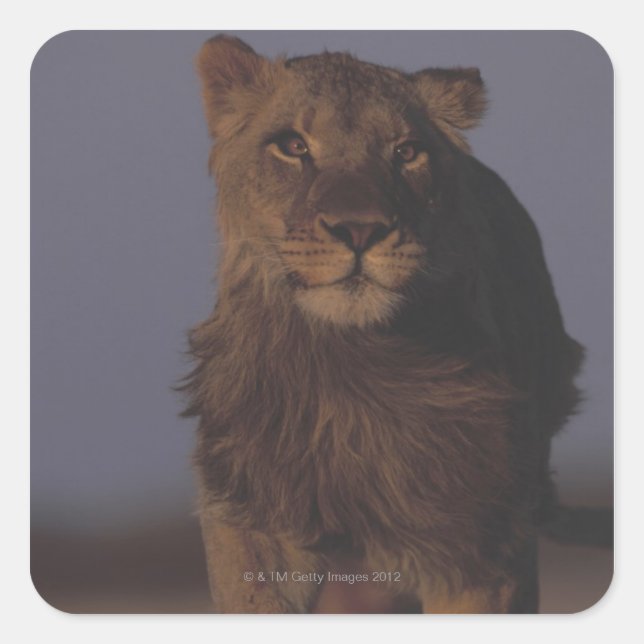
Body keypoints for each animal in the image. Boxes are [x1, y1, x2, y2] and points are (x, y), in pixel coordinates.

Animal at [181, 35, 584, 613]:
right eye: (293, 146)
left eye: (406, 152)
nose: (359, 229)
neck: (345, 367)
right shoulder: (250, 518)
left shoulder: (476, 547)